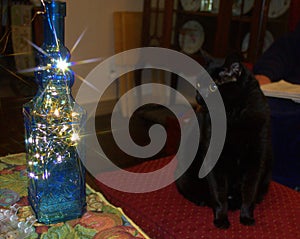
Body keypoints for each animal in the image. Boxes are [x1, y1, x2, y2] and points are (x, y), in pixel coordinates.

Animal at [175, 55, 274, 229]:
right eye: (199, 84)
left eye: (214, 87)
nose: (198, 98)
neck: (233, 115)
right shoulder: (214, 160)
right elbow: (219, 193)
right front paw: (221, 219)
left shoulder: (256, 159)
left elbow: (250, 190)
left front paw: (246, 216)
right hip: (185, 174)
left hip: (267, 174)